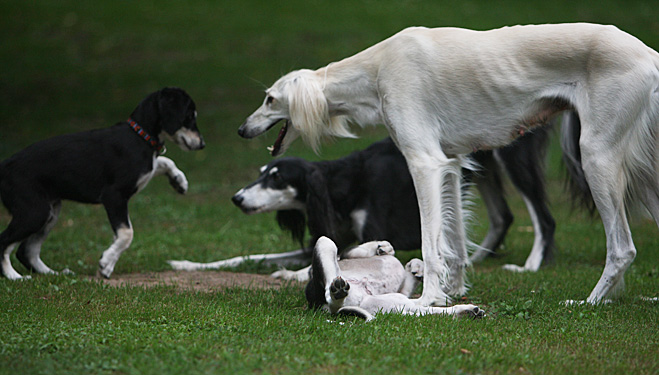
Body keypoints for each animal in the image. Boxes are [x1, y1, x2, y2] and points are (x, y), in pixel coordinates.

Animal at [0, 87, 204, 280]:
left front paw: (179, 180)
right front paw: (106, 264)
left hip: (49, 211)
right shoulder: (114, 196)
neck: (140, 137)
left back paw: (53, 274)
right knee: (4, 242)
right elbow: (126, 234)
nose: (202, 145)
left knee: (27, 251)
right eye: (188, 117)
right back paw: (14, 277)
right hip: (34, 212)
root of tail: (4, 166)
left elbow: (164, 161)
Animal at [169, 125, 556, 278]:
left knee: (544, 218)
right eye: (262, 173)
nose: (237, 198)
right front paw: (189, 264)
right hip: (483, 165)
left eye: (277, 178)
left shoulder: (379, 234)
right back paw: (471, 259)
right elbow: (248, 256)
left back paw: (529, 266)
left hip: (513, 158)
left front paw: (290, 273)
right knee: (503, 217)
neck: (342, 184)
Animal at [238, 22, 659, 306]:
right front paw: (453, 292)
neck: (375, 69)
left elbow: (430, 244)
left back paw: (591, 302)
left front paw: (429, 300)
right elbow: (453, 242)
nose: (242, 129)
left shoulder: (424, 163)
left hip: (596, 156)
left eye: (270, 99)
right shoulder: (452, 163)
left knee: (622, 248)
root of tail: (649, 54)